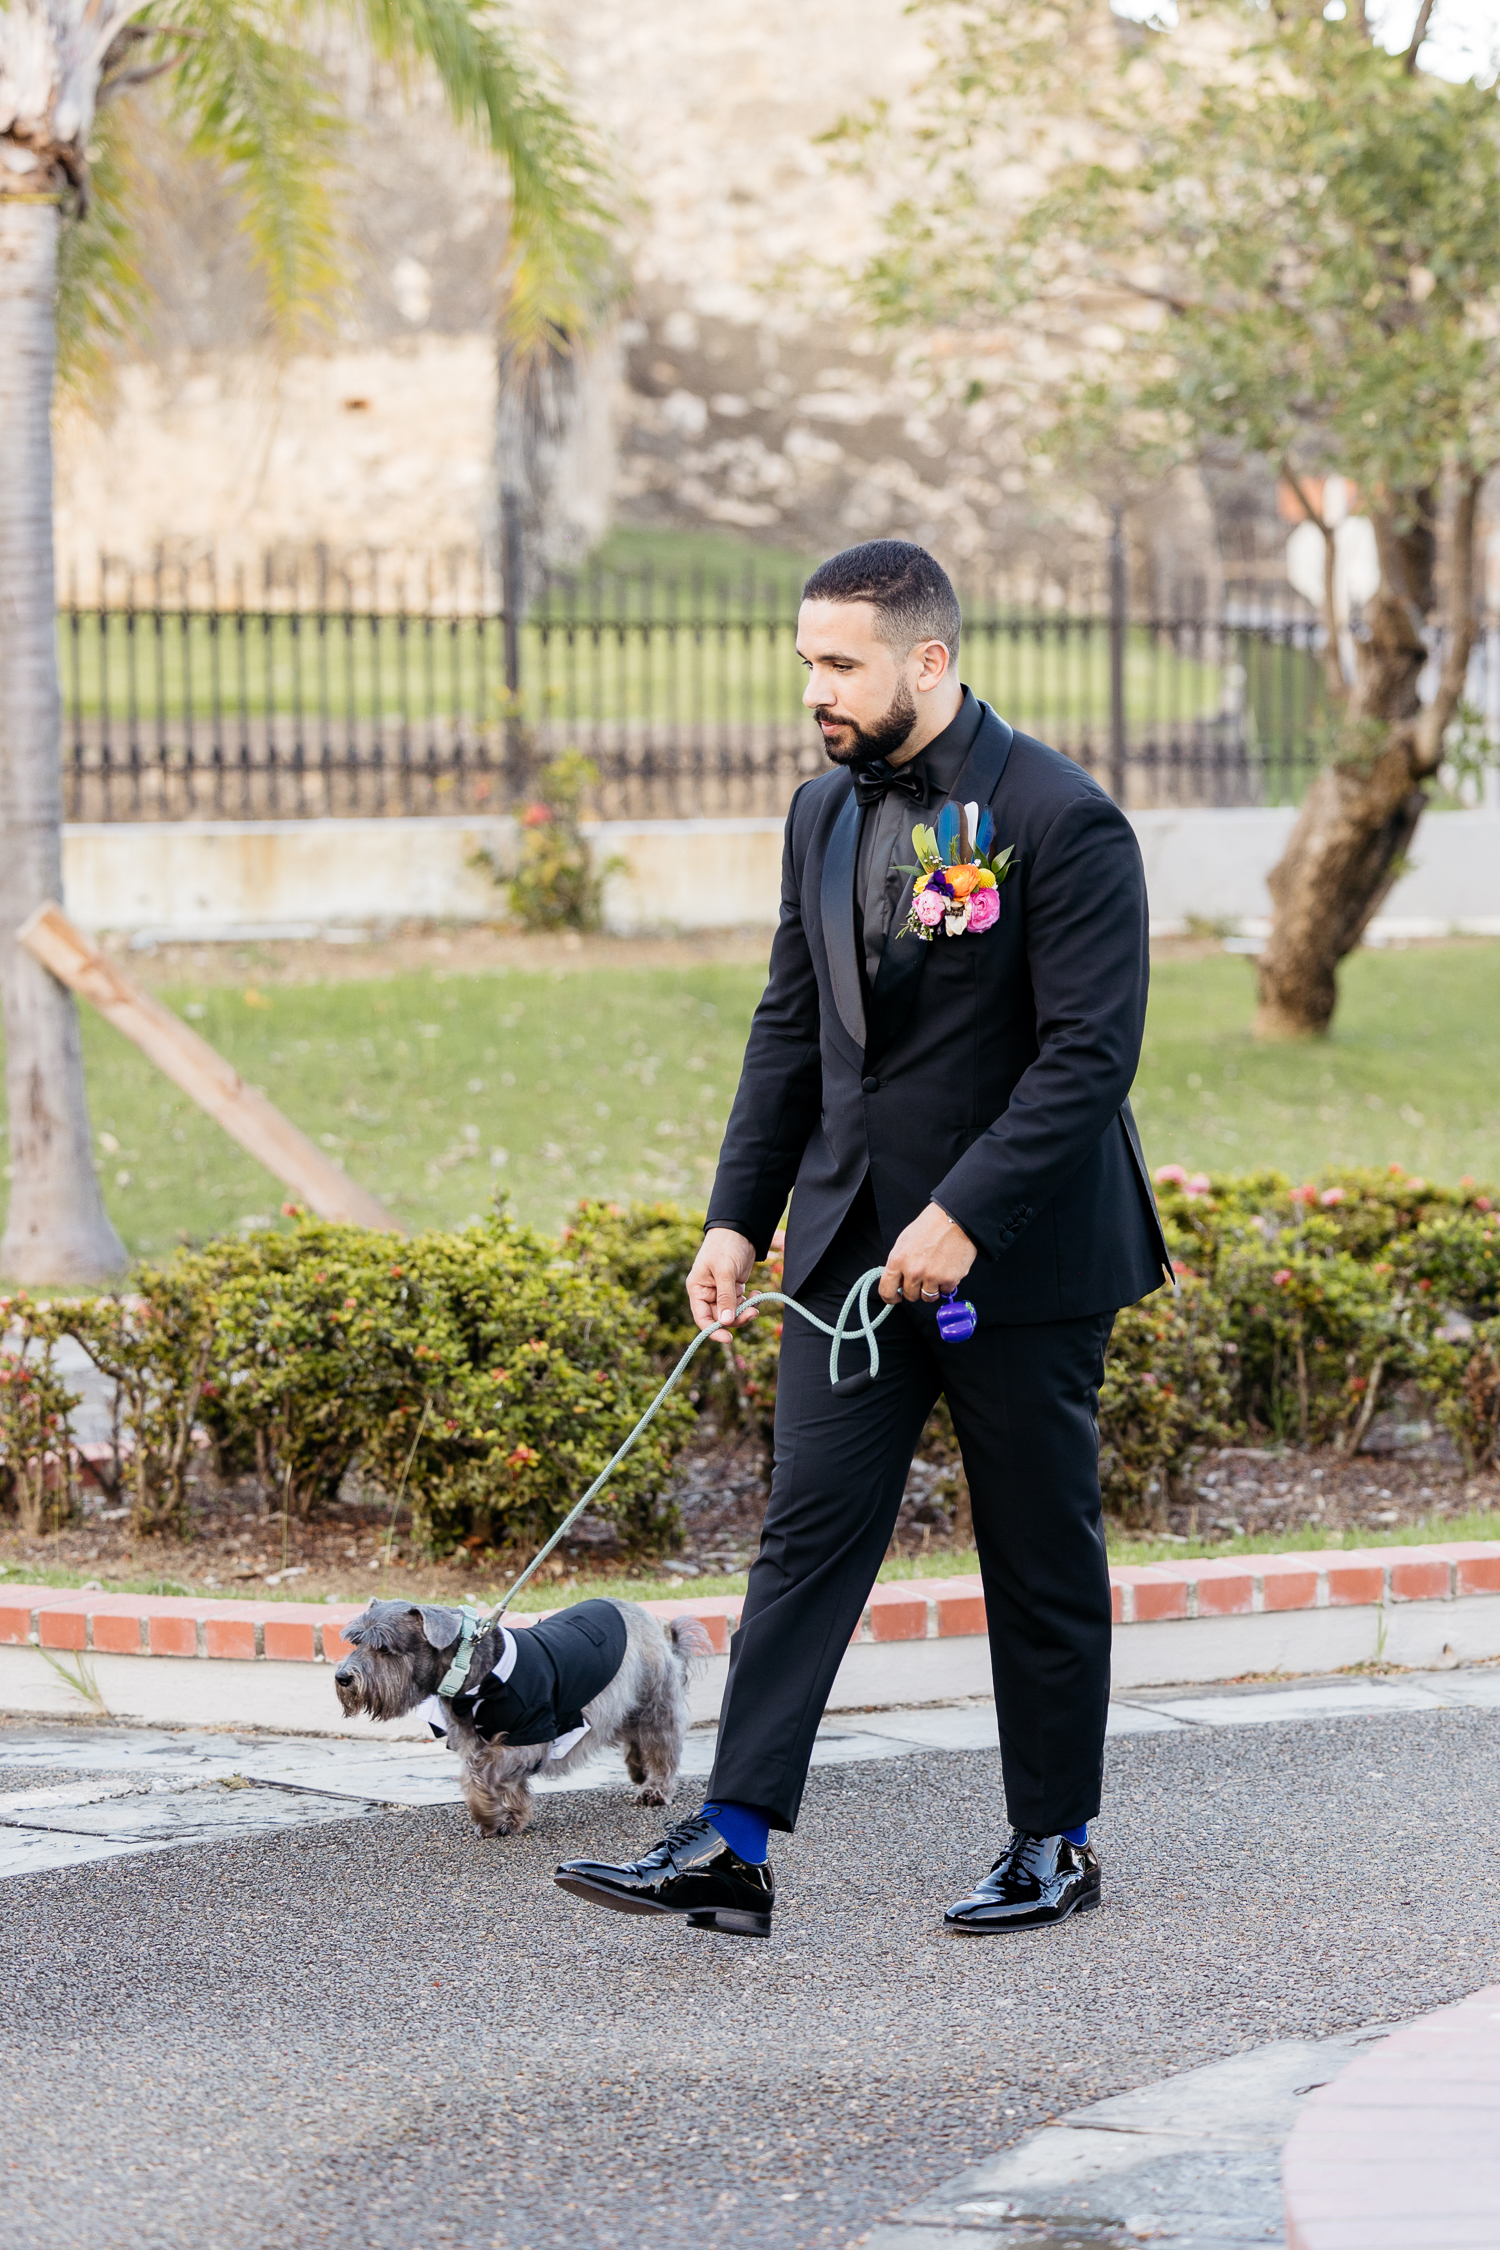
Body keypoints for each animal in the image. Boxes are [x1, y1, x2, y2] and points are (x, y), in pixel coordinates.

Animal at [335, 1593, 710, 1836]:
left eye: (384, 1648)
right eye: (355, 1641)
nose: (342, 1677)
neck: (471, 1670)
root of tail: (649, 1618)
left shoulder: (528, 1738)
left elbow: (480, 1774)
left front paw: (488, 1815)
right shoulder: (475, 1739)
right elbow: (495, 1779)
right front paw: (506, 1817)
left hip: (654, 1701)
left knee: (661, 1745)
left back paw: (655, 1787)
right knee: (631, 1734)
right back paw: (636, 1768)